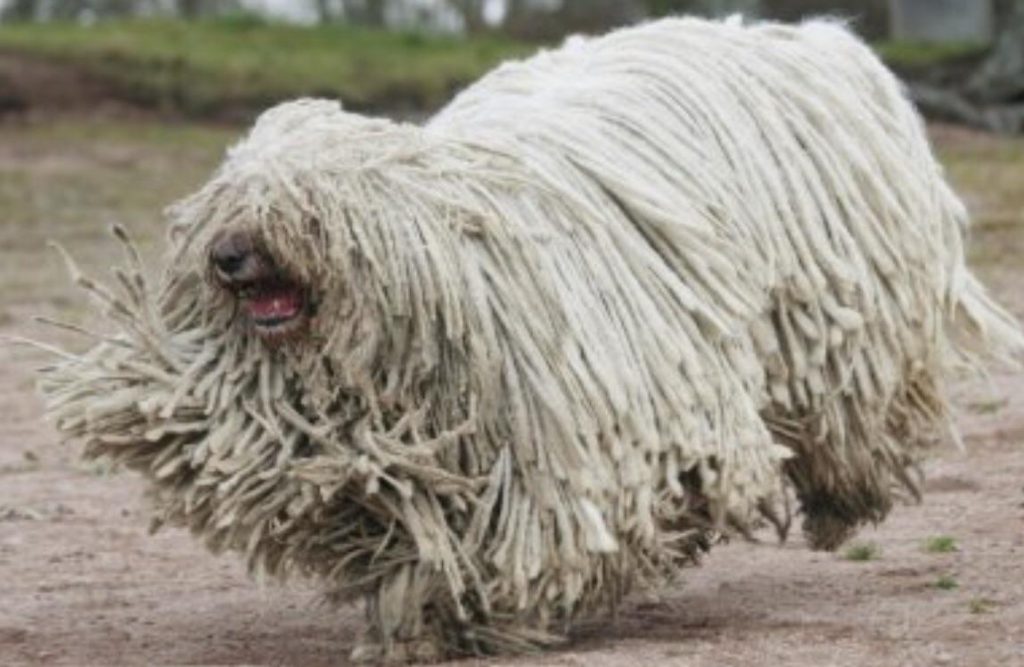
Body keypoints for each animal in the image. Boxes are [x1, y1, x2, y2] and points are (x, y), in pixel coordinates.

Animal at [36, 15, 1019, 663]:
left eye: (301, 206)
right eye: (228, 202)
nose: (233, 257)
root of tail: (814, 40)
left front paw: (501, 609)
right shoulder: (389, 448)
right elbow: (396, 524)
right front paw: (423, 618)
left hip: (838, 298)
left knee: (855, 406)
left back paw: (846, 491)